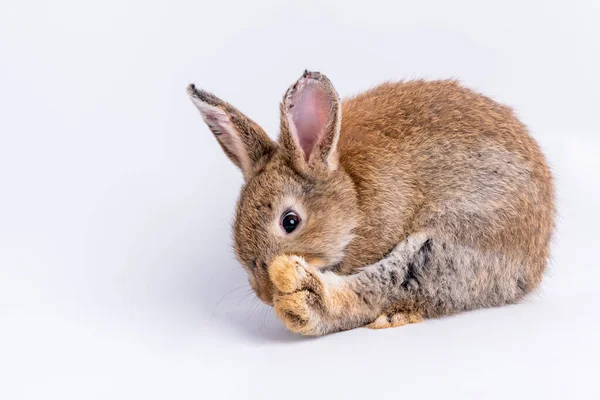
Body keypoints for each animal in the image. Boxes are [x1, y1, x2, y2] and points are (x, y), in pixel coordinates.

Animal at [186, 69, 552, 334]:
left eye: (290, 221)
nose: (263, 293)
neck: (353, 199)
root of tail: (536, 261)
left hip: (453, 244)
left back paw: (305, 300)